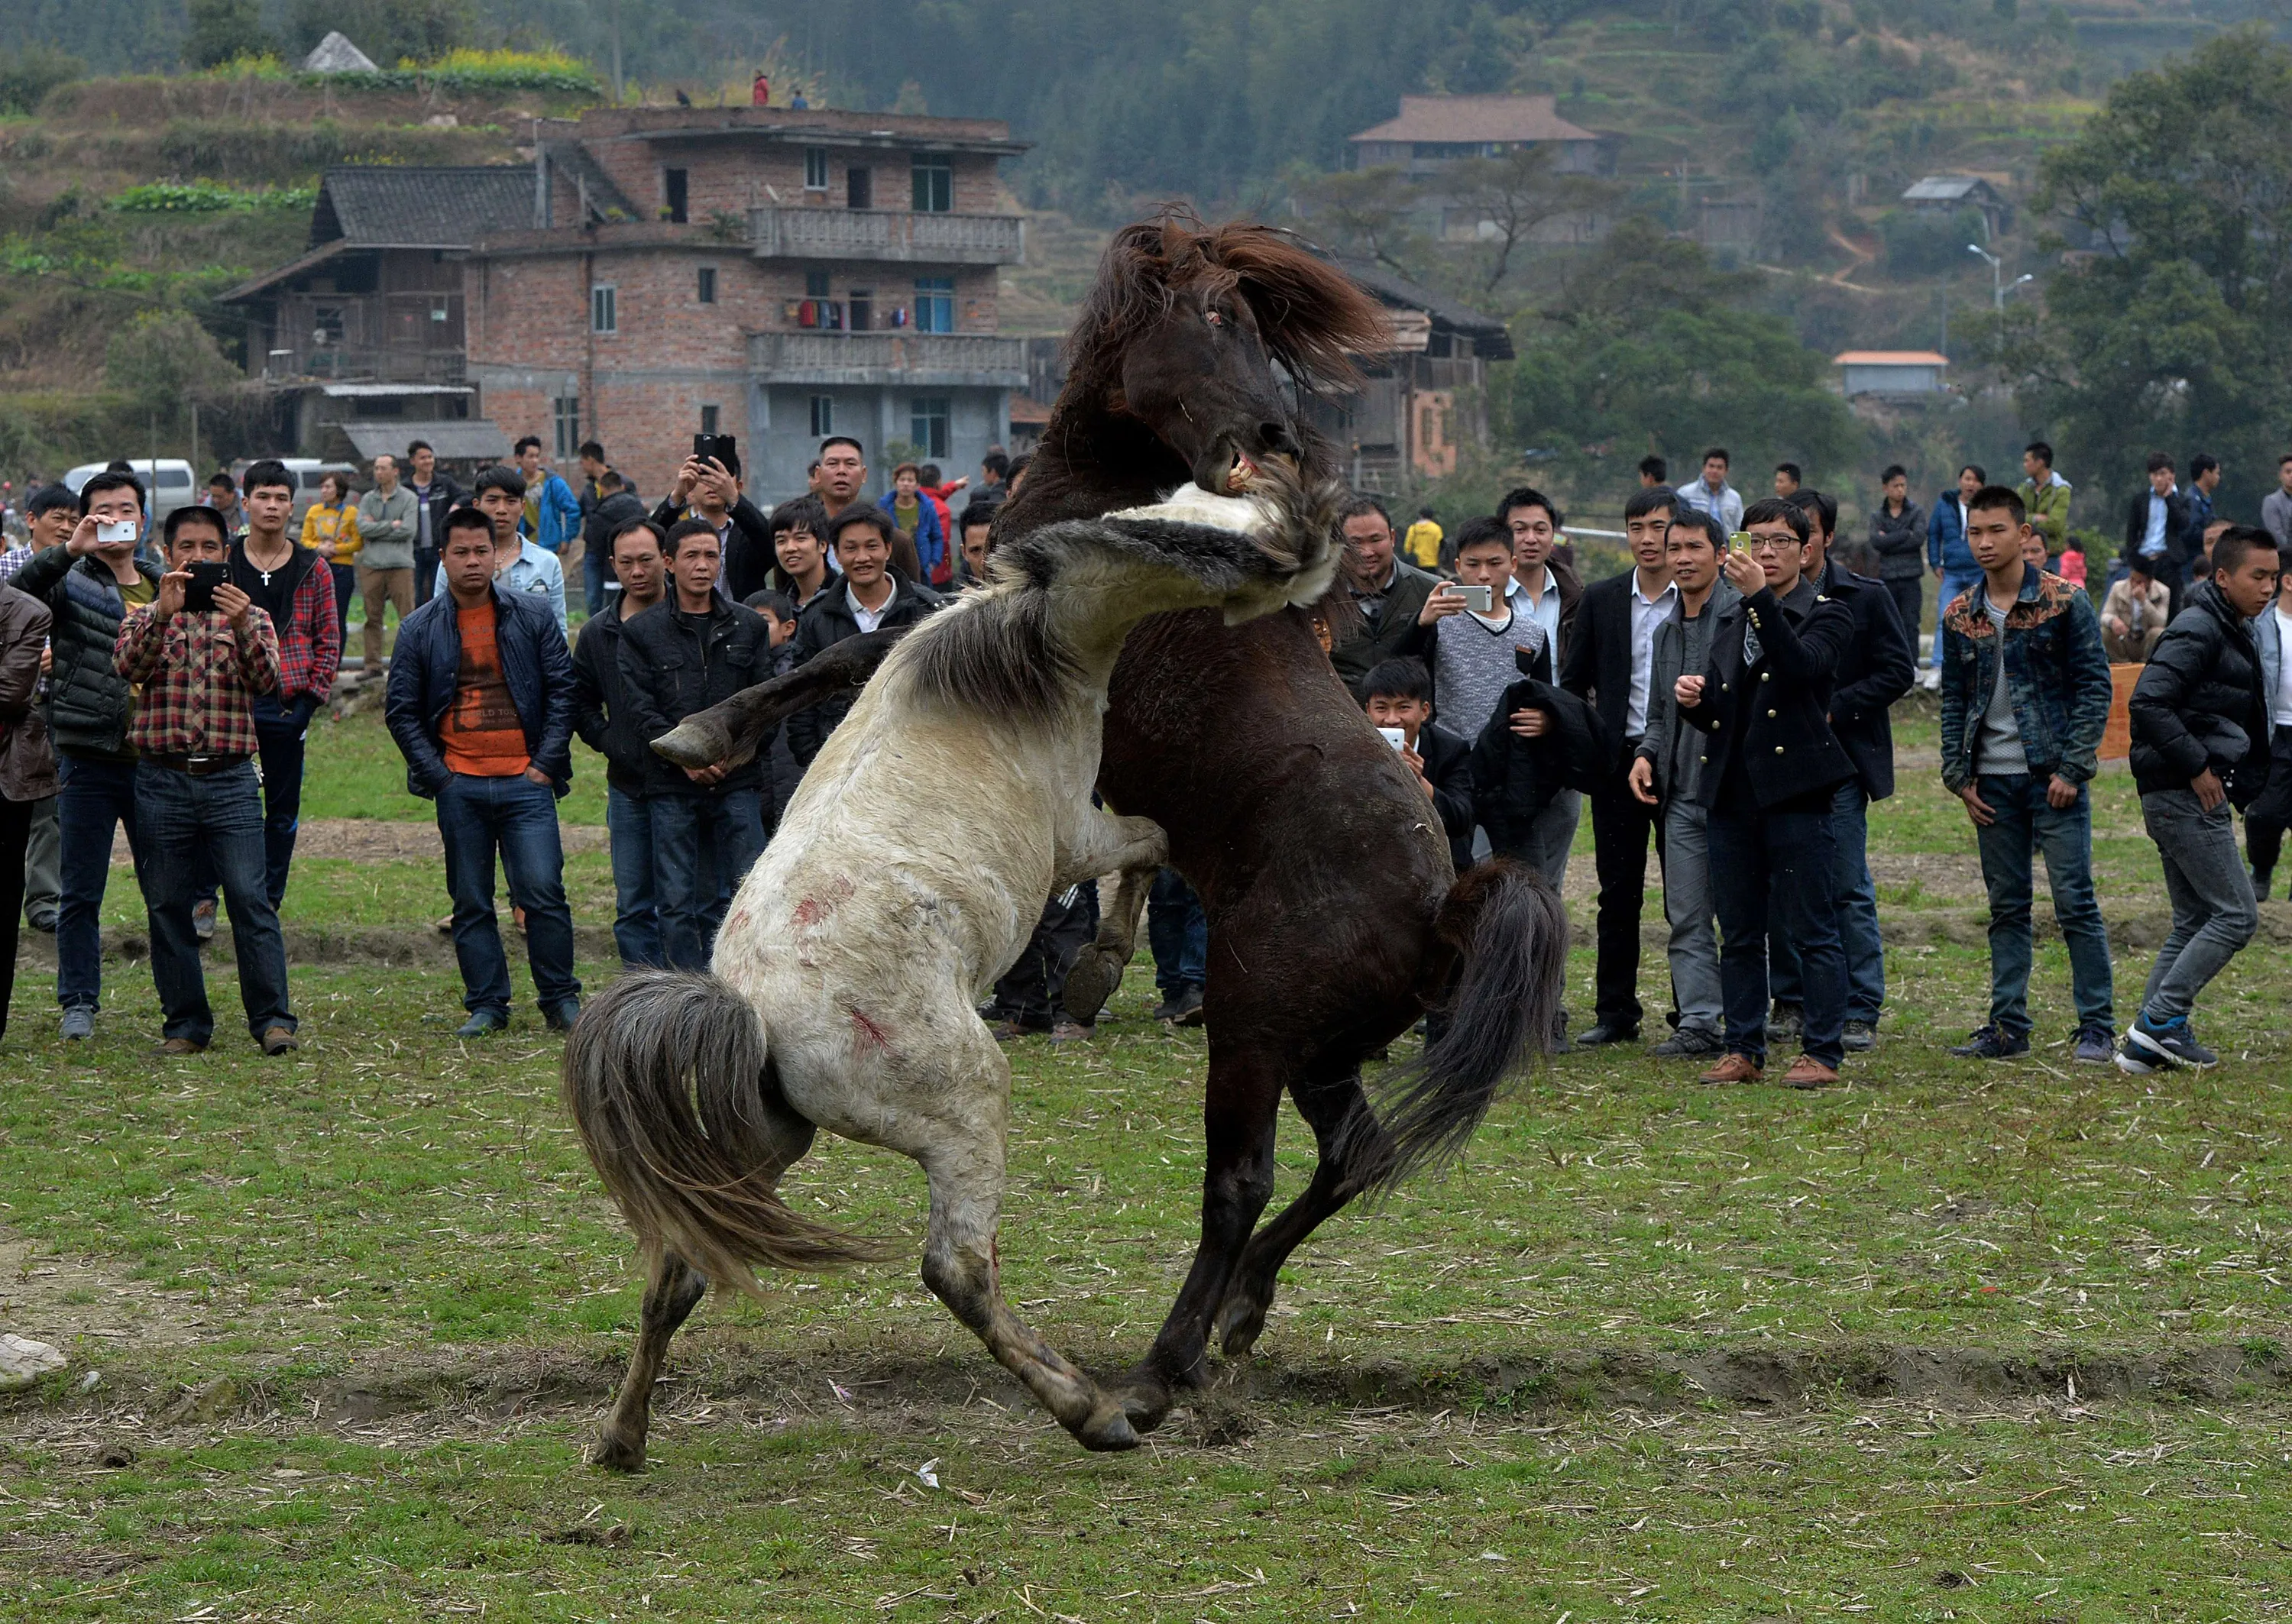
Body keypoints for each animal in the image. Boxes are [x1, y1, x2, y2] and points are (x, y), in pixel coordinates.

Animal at [562, 460, 1339, 1457]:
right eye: (1220, 539)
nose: (1312, 550)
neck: (1026, 643)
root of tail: (751, 1015)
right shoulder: (1077, 835)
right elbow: (1152, 844)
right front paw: (1096, 969)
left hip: (763, 1142)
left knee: (680, 1268)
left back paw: (621, 1437)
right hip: (964, 1108)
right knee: (957, 1269)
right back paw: (1093, 1410)